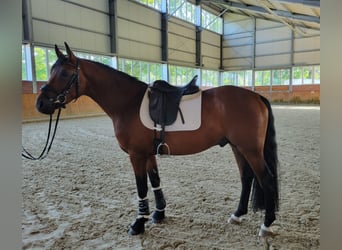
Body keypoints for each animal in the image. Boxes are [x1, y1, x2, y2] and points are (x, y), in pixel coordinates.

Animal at [36, 44, 280, 237]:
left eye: (65, 74)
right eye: (52, 71)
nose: (40, 104)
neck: (128, 103)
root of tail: (256, 96)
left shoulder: (136, 155)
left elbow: (142, 187)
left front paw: (138, 223)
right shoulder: (149, 154)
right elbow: (155, 181)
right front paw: (158, 214)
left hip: (250, 150)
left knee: (266, 180)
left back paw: (266, 225)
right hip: (238, 147)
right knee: (247, 178)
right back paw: (237, 215)